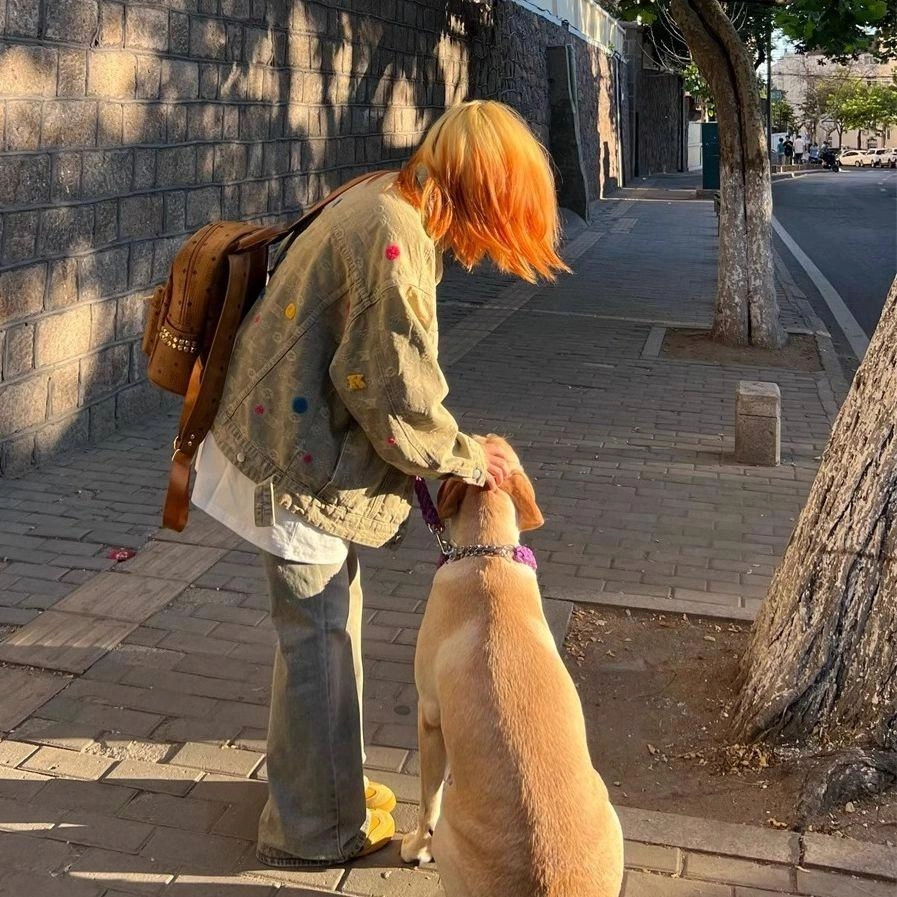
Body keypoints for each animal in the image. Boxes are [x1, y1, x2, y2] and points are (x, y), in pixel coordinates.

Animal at [401, 436, 624, 897]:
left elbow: (427, 799)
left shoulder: (428, 717)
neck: (488, 552)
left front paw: (415, 847)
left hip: (452, 833)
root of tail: (552, 882)